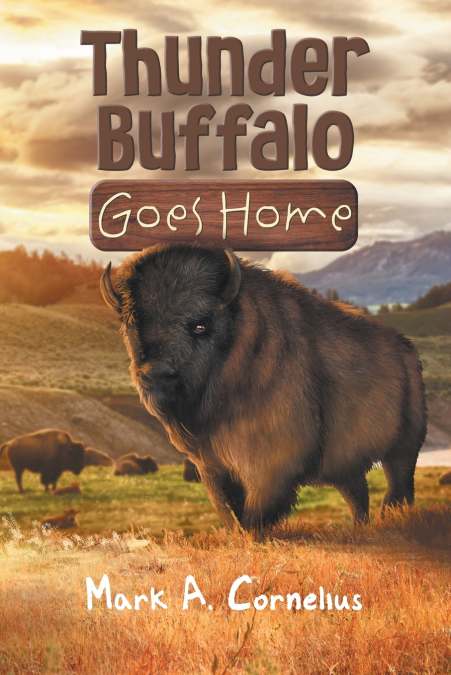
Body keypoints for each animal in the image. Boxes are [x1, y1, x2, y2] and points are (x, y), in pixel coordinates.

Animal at [101, 244, 427, 530]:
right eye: (133, 323)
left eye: (201, 326)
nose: (155, 375)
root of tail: (407, 350)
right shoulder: (212, 465)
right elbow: (230, 510)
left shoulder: (271, 464)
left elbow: (254, 513)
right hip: (346, 462)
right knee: (358, 493)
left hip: (403, 447)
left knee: (398, 486)